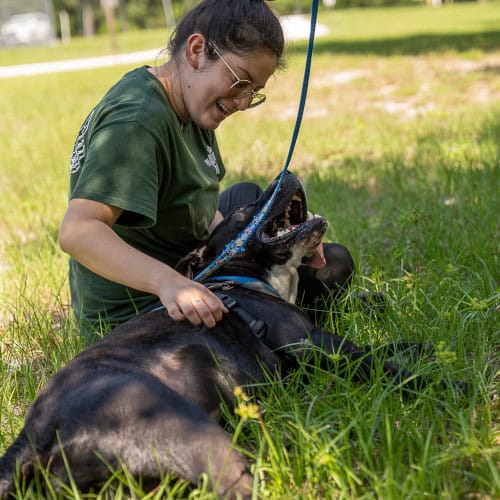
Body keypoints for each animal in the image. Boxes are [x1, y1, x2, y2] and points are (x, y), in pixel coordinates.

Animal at [0, 173, 460, 500]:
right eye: (246, 209)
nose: (287, 174)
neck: (241, 279)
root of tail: (33, 435)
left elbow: (388, 347)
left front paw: (424, 347)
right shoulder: (315, 344)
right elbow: (387, 365)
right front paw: (450, 384)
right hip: (192, 436)